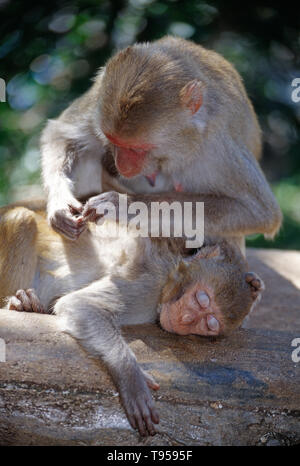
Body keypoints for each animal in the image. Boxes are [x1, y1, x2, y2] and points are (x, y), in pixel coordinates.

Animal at [0, 203, 262, 436]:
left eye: (209, 324)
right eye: (200, 300)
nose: (186, 318)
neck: (169, 274)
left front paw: (255, 286)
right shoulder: (147, 285)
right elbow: (81, 305)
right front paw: (130, 376)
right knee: (23, 218)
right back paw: (20, 303)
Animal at [40, 36, 282, 246]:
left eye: (138, 149)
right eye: (112, 141)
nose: (122, 167)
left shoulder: (218, 146)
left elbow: (259, 213)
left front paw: (121, 204)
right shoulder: (97, 102)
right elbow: (60, 133)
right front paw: (60, 205)